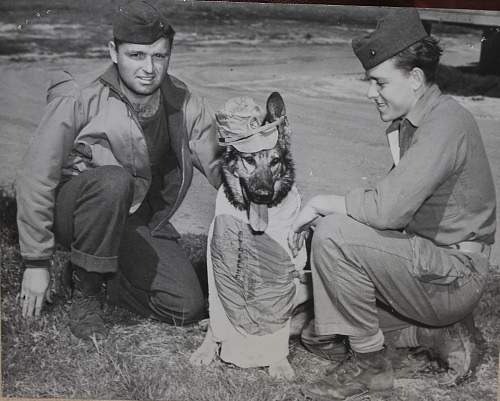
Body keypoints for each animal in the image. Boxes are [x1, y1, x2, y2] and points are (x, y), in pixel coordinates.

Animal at [190, 91, 310, 378]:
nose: (263, 195)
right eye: (249, 160)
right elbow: (217, 317)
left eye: (275, 161)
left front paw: (279, 362)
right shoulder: (218, 266)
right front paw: (205, 350)